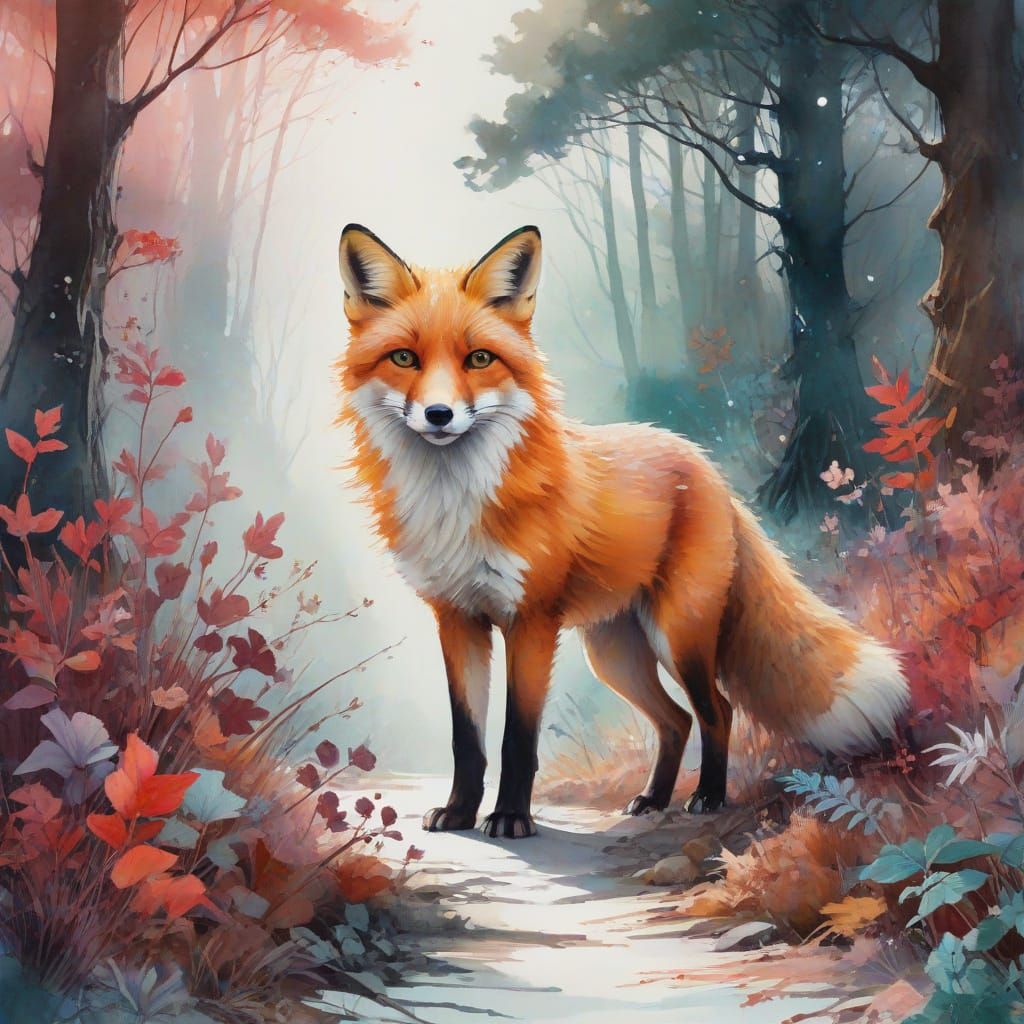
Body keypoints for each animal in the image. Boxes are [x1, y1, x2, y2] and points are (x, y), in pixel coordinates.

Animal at [336, 222, 910, 840]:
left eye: (479, 358)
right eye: (404, 358)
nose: (439, 415)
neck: (456, 502)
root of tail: (708, 468)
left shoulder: (531, 622)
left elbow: (517, 740)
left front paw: (511, 817)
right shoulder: (457, 619)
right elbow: (466, 738)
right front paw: (461, 812)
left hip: (678, 633)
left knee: (718, 709)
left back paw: (708, 796)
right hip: (615, 654)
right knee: (676, 720)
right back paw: (653, 798)